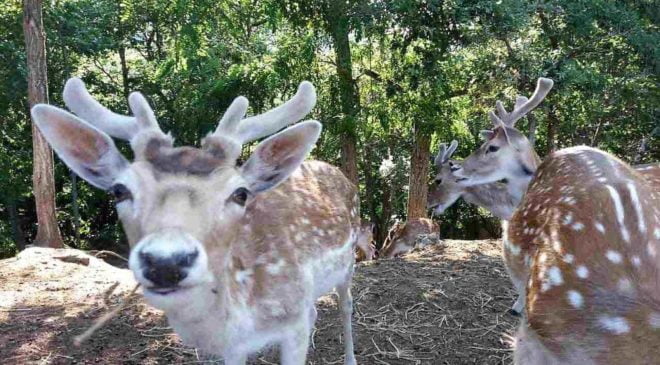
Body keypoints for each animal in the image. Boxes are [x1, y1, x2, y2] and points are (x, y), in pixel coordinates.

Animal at [31, 77, 360, 364]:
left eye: (240, 193)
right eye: (119, 190)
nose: (165, 262)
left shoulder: (293, 323)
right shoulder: (234, 347)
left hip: (350, 256)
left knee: (346, 306)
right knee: (316, 311)